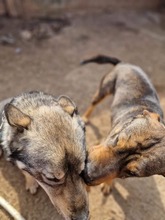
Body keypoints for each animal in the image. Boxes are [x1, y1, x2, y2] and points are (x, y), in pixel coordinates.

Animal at [0, 91, 89, 220]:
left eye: (81, 171)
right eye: (52, 179)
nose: (83, 218)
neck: (34, 106)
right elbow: (27, 174)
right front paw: (31, 183)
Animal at [81, 55, 165, 194]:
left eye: (132, 172)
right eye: (118, 139)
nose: (85, 174)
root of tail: (124, 63)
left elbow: (111, 175)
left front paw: (108, 184)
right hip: (104, 89)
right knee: (93, 103)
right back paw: (85, 117)